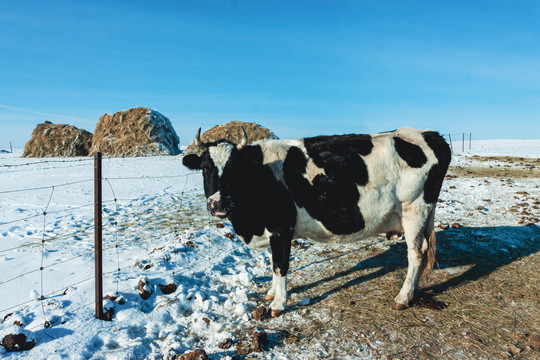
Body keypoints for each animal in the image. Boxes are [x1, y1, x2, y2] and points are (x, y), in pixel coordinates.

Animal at [182, 128, 452, 316]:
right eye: (205, 168)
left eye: (235, 169)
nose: (218, 204)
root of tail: (428, 133)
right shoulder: (271, 233)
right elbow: (272, 262)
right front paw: (271, 294)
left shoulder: (281, 228)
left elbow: (280, 265)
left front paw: (278, 304)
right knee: (423, 250)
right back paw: (413, 291)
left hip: (414, 208)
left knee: (415, 254)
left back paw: (402, 298)